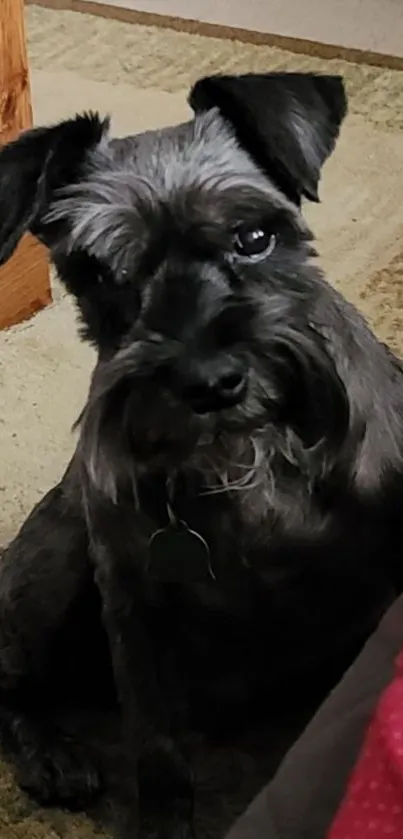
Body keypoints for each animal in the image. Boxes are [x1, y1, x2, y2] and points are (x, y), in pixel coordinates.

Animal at [0, 72, 403, 839]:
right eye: (101, 272)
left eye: (255, 236)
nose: (210, 382)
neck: (245, 457)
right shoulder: (135, 605)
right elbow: (156, 748)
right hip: (51, 566)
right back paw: (52, 754)